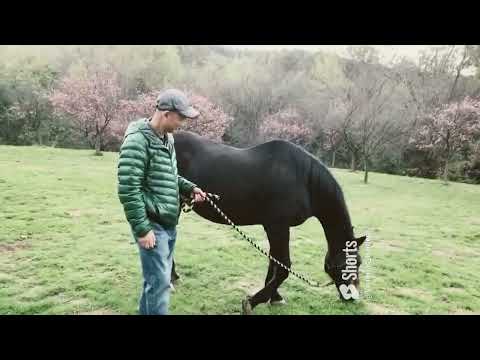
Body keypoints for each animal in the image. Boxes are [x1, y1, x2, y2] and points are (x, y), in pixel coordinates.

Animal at [171, 131, 366, 314]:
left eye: (359, 262)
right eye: (344, 264)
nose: (351, 297)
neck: (303, 179)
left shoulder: (275, 227)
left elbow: (274, 262)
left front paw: (274, 297)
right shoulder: (277, 226)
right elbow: (283, 266)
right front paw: (252, 301)